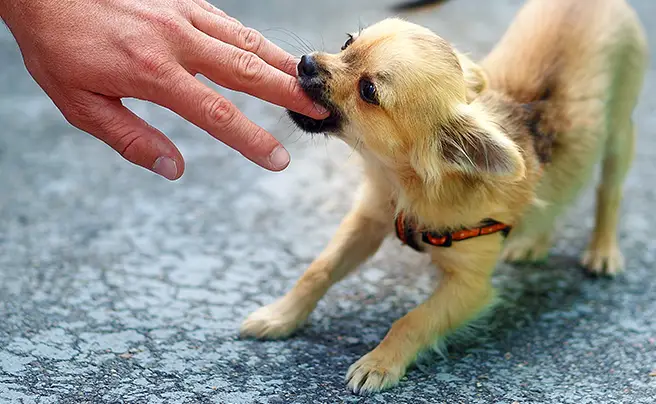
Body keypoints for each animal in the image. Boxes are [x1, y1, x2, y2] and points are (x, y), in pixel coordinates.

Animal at [240, 0, 644, 394]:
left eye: (368, 91)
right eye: (346, 43)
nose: (306, 62)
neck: (403, 184)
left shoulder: (470, 288)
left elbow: (414, 319)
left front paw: (380, 362)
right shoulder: (369, 219)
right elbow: (318, 270)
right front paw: (280, 316)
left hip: (620, 135)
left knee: (609, 193)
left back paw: (603, 250)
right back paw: (533, 242)